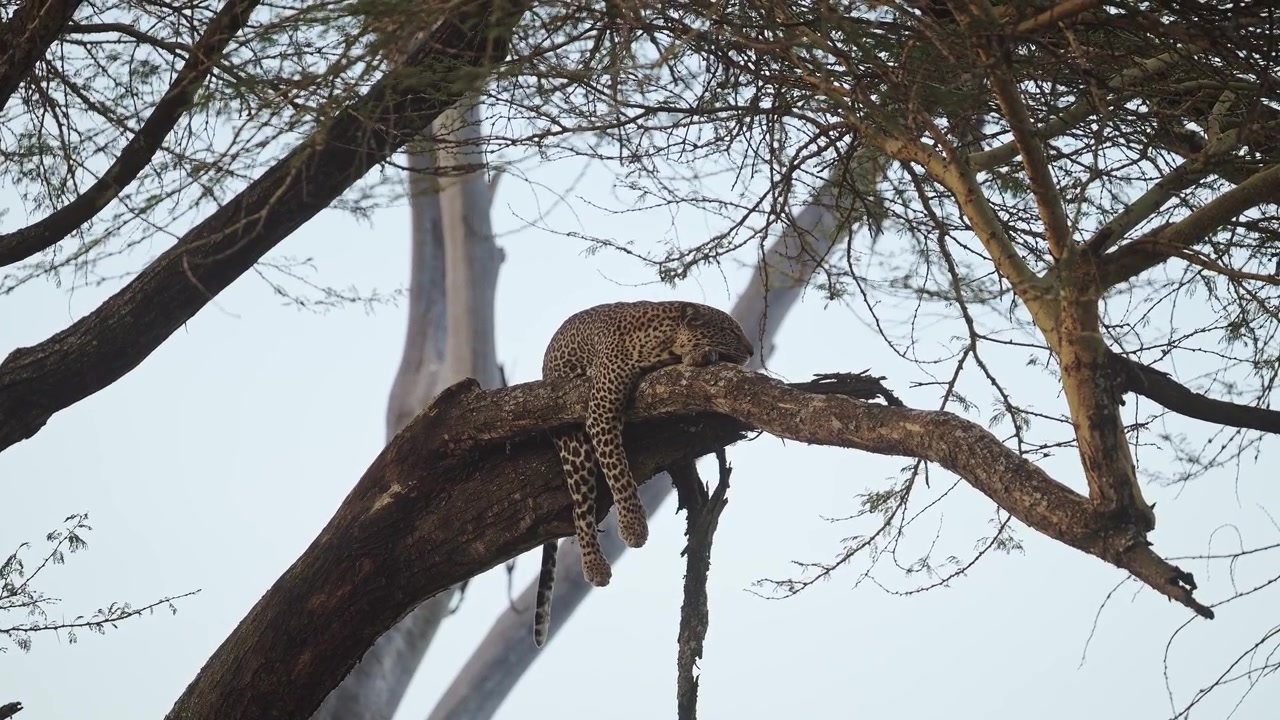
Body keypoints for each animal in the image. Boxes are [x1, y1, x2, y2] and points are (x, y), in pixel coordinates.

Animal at [532, 300, 755, 647]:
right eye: (731, 330)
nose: (752, 350)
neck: (661, 338)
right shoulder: (600, 410)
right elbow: (618, 469)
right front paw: (633, 526)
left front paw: (702, 355)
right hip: (573, 443)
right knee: (580, 508)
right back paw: (595, 566)